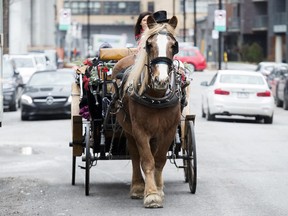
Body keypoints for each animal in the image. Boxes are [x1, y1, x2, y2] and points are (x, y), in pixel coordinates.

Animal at [112, 14, 180, 208]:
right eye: (149, 45)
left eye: (174, 46)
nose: (161, 80)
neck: (156, 96)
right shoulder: (139, 130)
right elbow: (147, 160)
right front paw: (150, 194)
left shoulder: (169, 130)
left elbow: (159, 159)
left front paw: (158, 189)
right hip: (127, 128)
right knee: (135, 156)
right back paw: (137, 187)